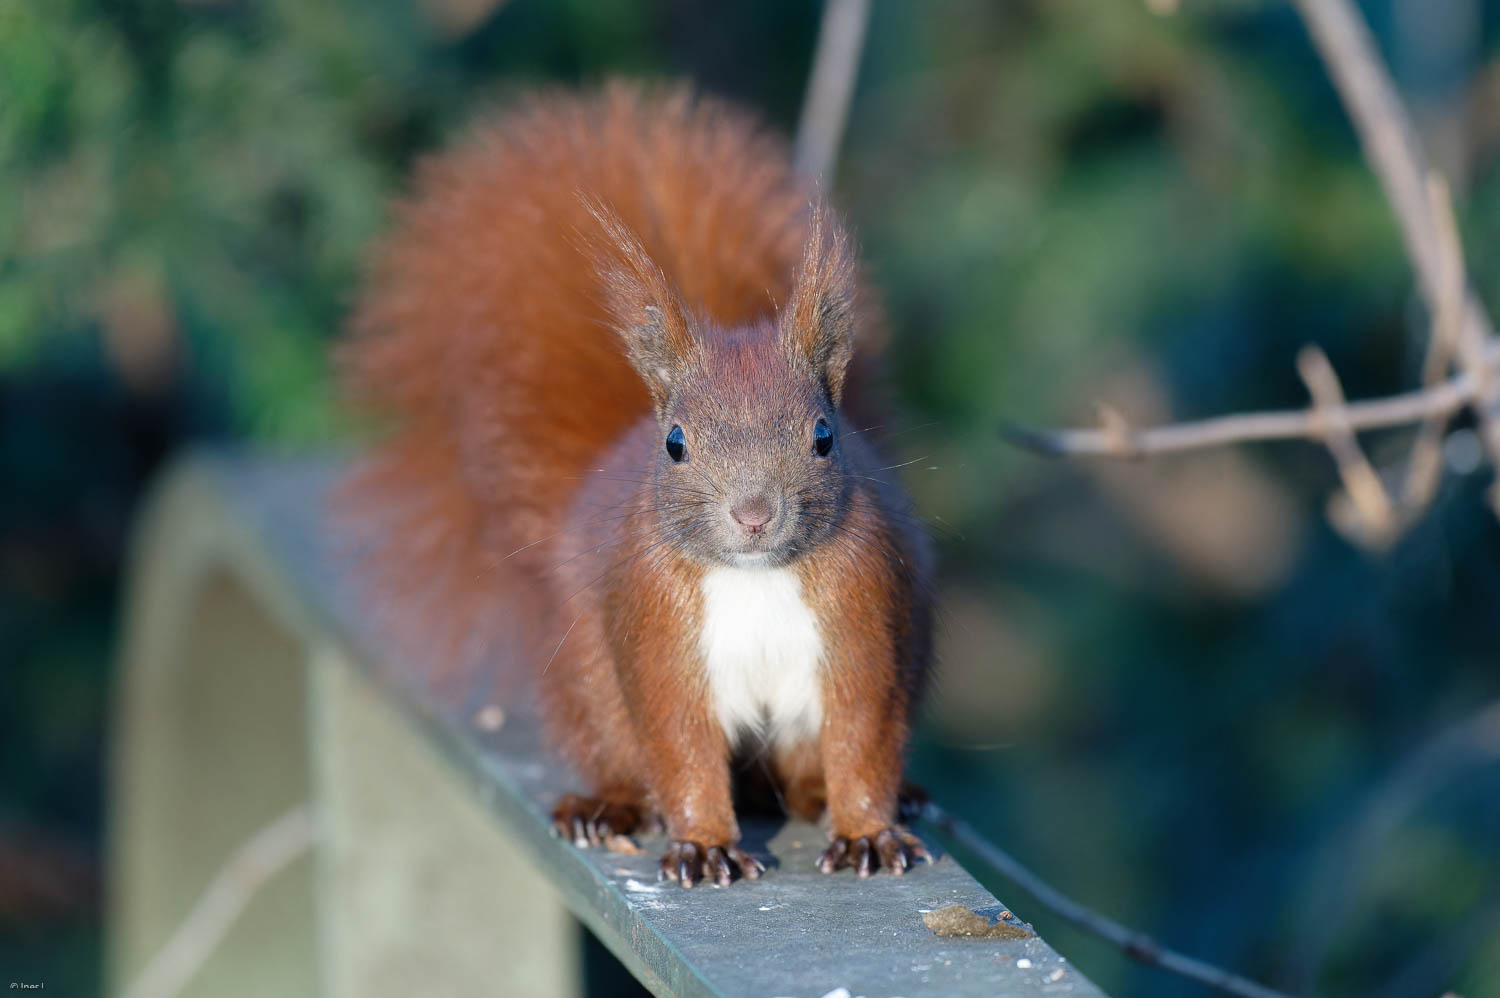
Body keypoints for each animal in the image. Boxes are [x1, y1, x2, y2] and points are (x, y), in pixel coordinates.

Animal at [338, 82, 935, 887]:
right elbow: (680, 745)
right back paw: (605, 807)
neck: (755, 578)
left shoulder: (863, 612)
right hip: (587, 685)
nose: (754, 514)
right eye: (676, 444)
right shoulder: (653, 624)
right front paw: (705, 844)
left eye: (823, 436)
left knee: (808, 772)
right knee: (624, 754)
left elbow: (863, 735)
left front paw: (869, 831)